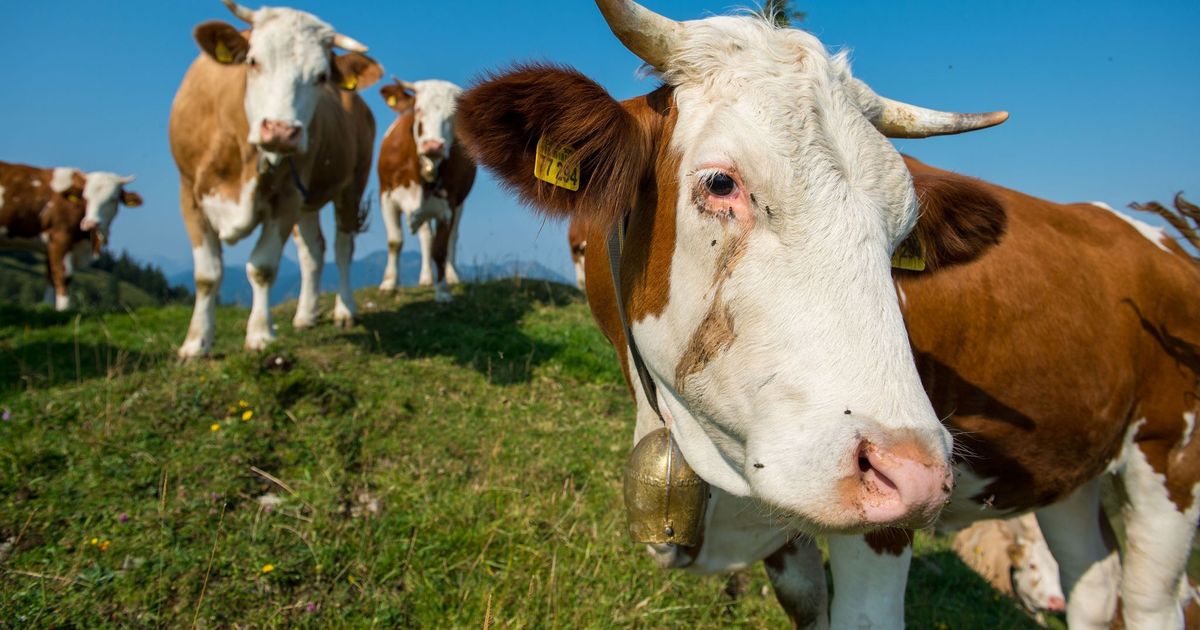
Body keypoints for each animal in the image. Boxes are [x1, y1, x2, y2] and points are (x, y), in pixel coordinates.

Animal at [0, 160, 141, 310]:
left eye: (113, 199)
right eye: (85, 197)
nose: (91, 224)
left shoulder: (50, 246)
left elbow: (50, 277)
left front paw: (48, 308)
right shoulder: (61, 237)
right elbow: (63, 276)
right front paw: (64, 310)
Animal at [169, 0, 382, 357]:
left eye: (322, 76)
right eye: (253, 61)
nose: (282, 131)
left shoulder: (286, 198)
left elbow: (262, 267)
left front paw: (259, 334)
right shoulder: (189, 193)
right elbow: (207, 275)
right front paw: (196, 343)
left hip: (351, 184)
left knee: (342, 247)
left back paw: (345, 310)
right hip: (308, 200)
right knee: (313, 251)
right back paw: (306, 314)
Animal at [377, 78, 476, 301]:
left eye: (453, 116)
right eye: (418, 110)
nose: (434, 145)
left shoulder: (448, 206)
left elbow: (440, 249)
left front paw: (443, 290)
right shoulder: (386, 197)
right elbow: (395, 241)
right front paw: (389, 283)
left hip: (460, 204)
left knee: (452, 238)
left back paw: (452, 276)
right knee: (426, 236)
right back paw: (426, 278)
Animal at [457, 2, 1200, 628]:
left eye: (903, 231)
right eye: (720, 182)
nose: (912, 472)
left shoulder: (879, 528)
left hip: (1171, 456)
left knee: (1151, 598)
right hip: (1075, 471)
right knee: (1093, 580)